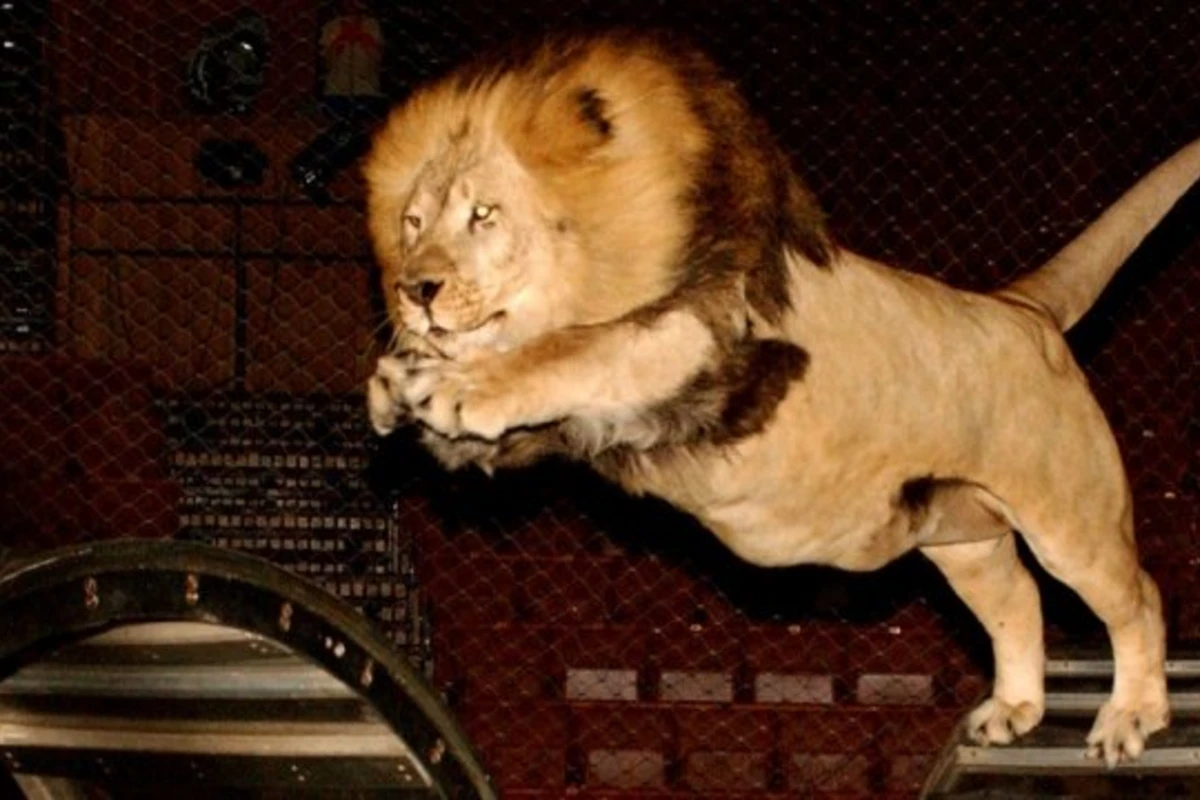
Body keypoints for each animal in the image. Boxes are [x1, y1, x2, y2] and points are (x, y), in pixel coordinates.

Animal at [363, 31, 1200, 766]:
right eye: (412, 222)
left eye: (483, 215)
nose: (415, 289)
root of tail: (1022, 308)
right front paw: (399, 382)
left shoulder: (706, 342)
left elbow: (578, 348)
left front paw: (459, 382)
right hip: (963, 538)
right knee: (1018, 598)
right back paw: (1015, 708)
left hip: (1069, 520)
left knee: (1140, 597)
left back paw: (1132, 714)